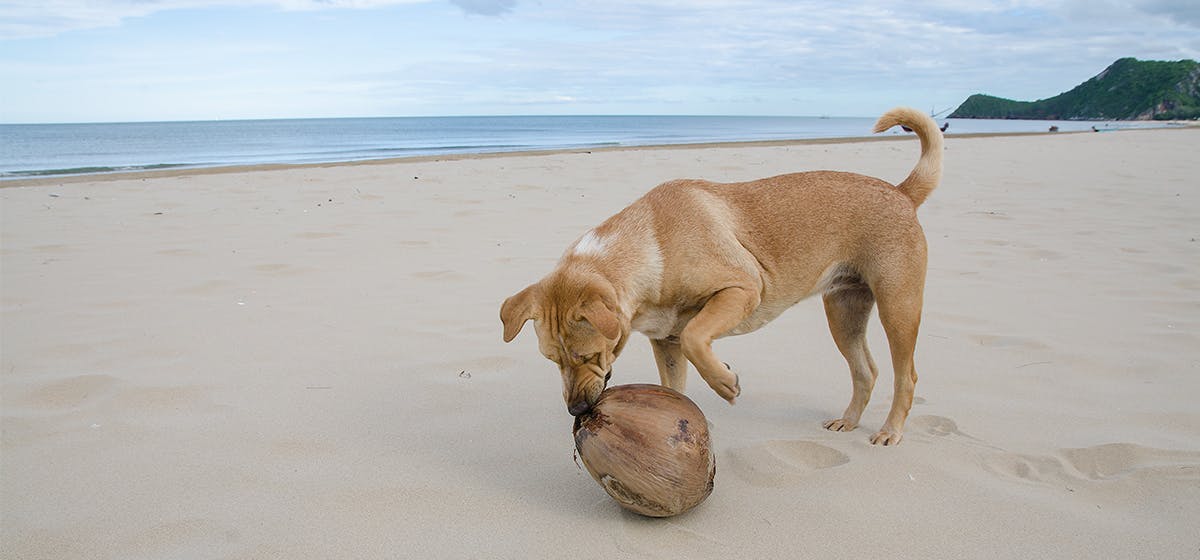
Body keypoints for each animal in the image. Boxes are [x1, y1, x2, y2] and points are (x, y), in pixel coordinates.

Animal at [501, 107, 940, 446]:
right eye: (551, 359)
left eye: (587, 356)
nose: (576, 409)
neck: (653, 245)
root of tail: (901, 193)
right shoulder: (666, 342)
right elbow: (674, 384)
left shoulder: (741, 289)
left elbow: (697, 337)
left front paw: (724, 383)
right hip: (844, 313)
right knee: (866, 371)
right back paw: (848, 420)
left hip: (898, 306)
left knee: (907, 375)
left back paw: (890, 430)